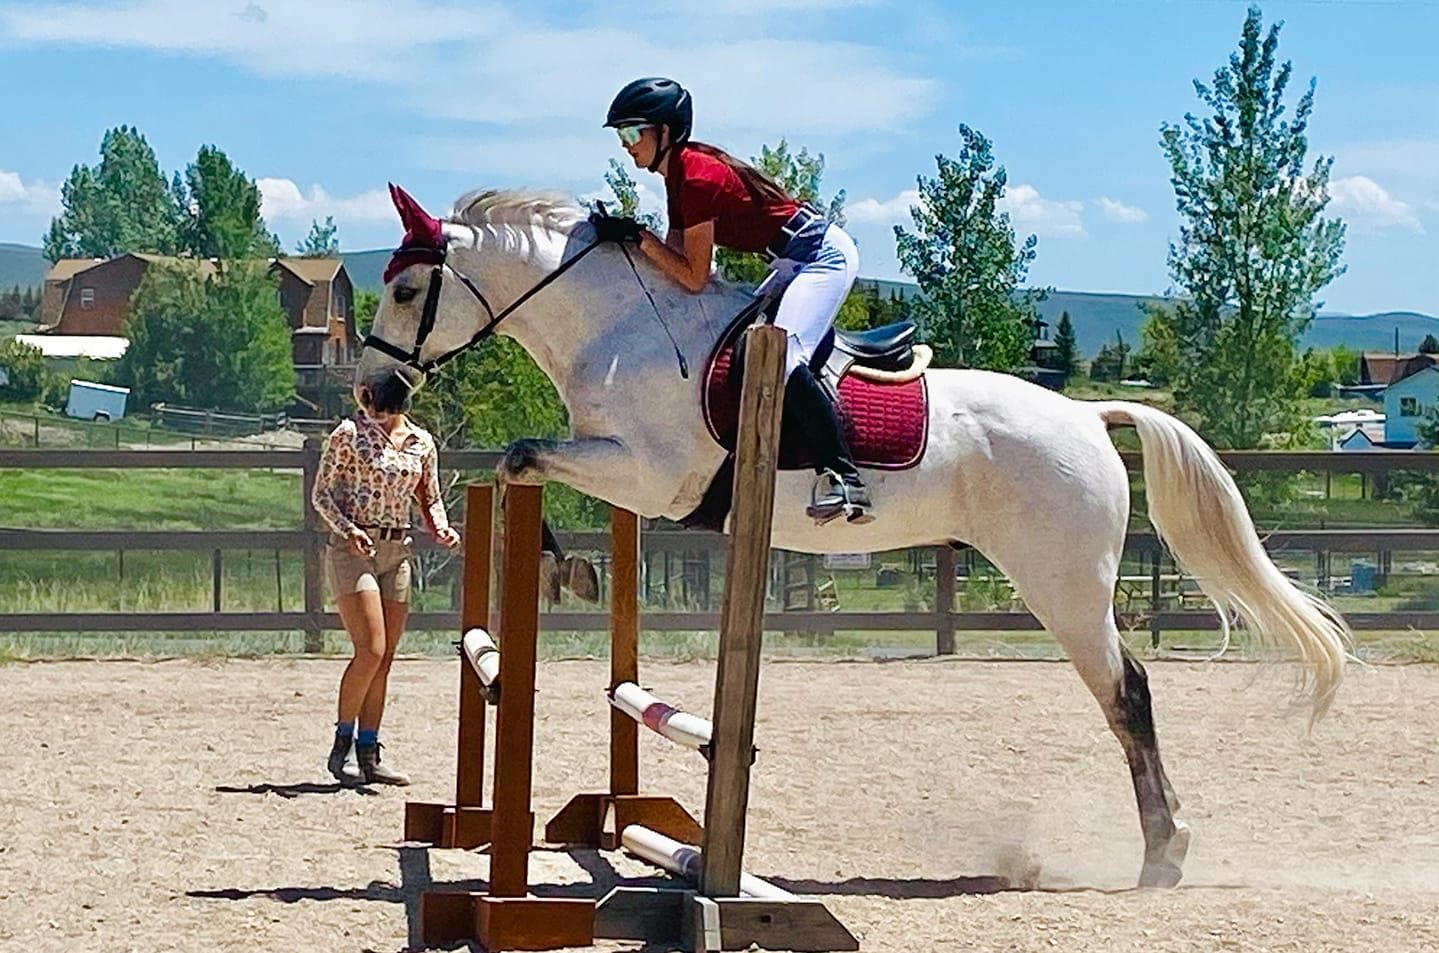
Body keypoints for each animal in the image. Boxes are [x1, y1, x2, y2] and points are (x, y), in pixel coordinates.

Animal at [356, 184, 1346, 886]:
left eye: (406, 289)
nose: (374, 392)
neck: (622, 325)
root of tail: (1084, 415)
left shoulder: (651, 477)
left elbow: (523, 454)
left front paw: (570, 575)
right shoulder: (619, 471)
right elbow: (519, 465)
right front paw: (573, 573)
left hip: (1058, 581)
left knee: (1125, 691)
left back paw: (1162, 853)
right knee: (1122, 691)